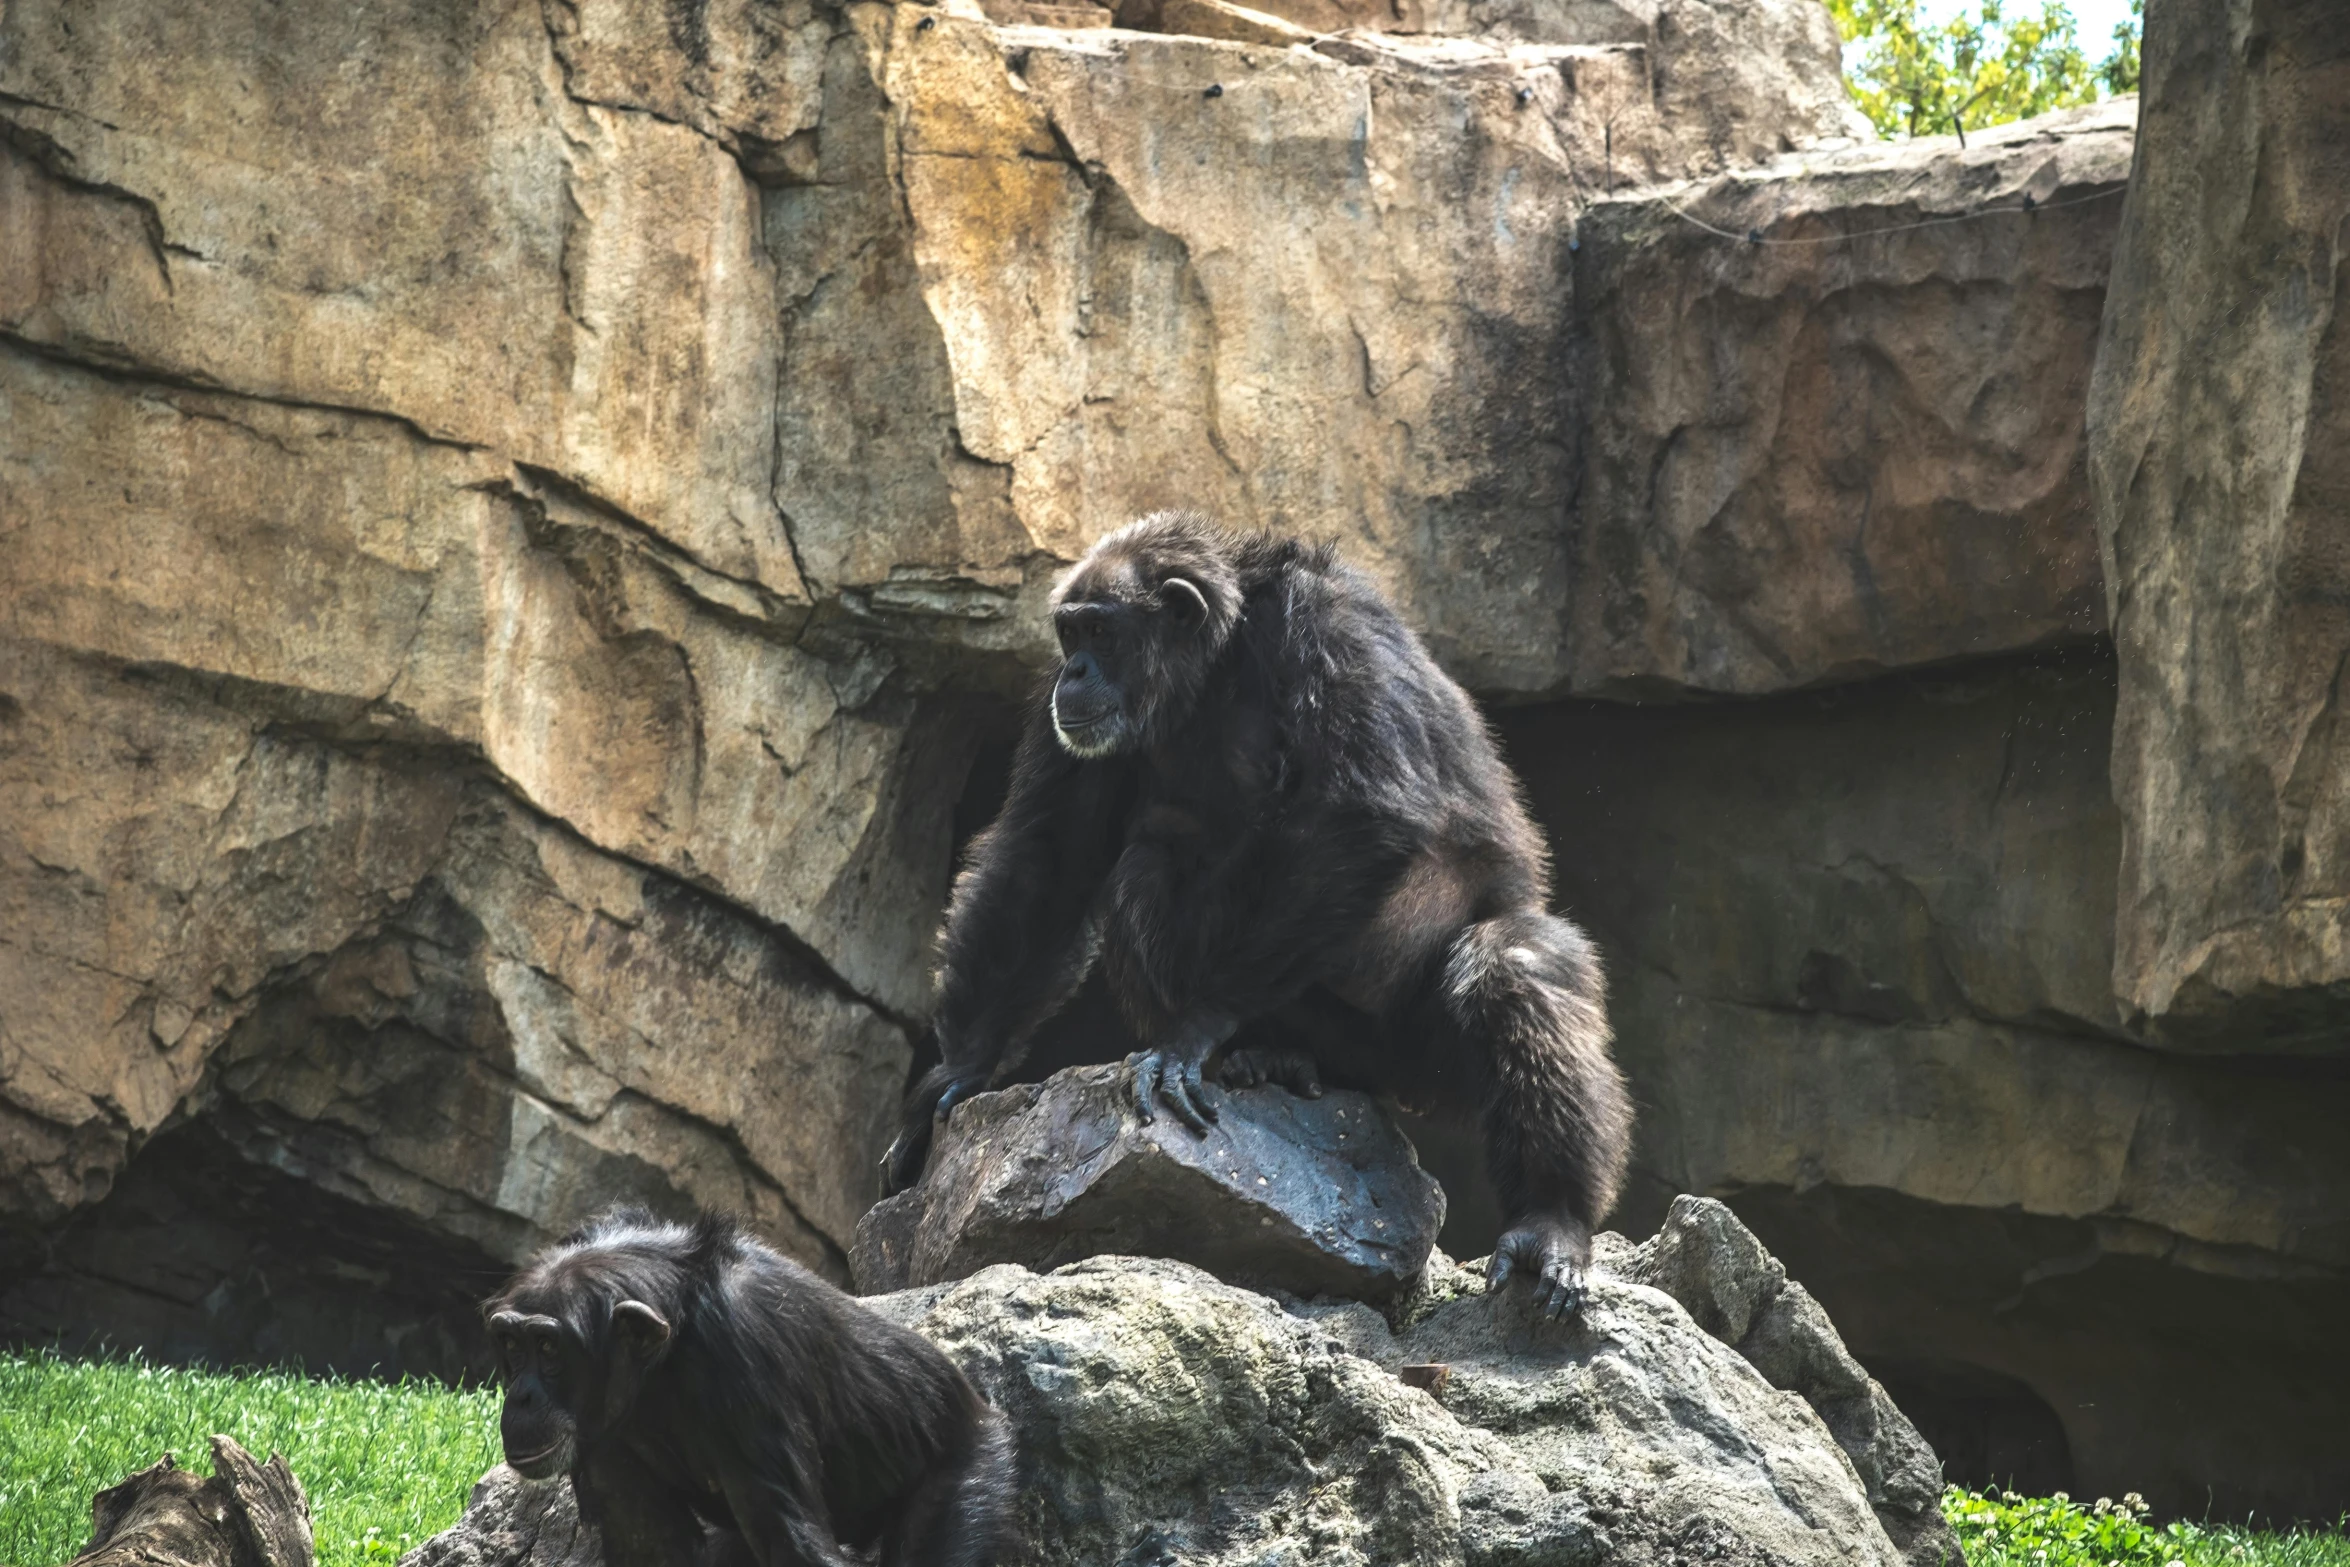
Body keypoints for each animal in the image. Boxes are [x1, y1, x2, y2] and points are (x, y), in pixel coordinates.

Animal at [486, 1212, 1010, 1567]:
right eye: (512, 1344)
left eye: (548, 1348)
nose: (522, 1396)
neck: (666, 1356)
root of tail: (983, 1406)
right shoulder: (604, 1438)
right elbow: (652, 1548)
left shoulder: (743, 1352)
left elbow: (791, 1545)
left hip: (969, 1467)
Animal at [883, 516, 1635, 1325]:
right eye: (1069, 632)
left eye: (1101, 632)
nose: (1073, 672)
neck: (1216, 662)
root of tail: (1387, 1079)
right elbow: (1049, 855)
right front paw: (957, 1075)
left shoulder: (1331, 630)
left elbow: (1365, 813)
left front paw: (1193, 1032)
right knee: (1148, 866)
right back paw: (1270, 1057)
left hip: (1429, 1056)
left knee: (1513, 965)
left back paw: (1550, 1221)